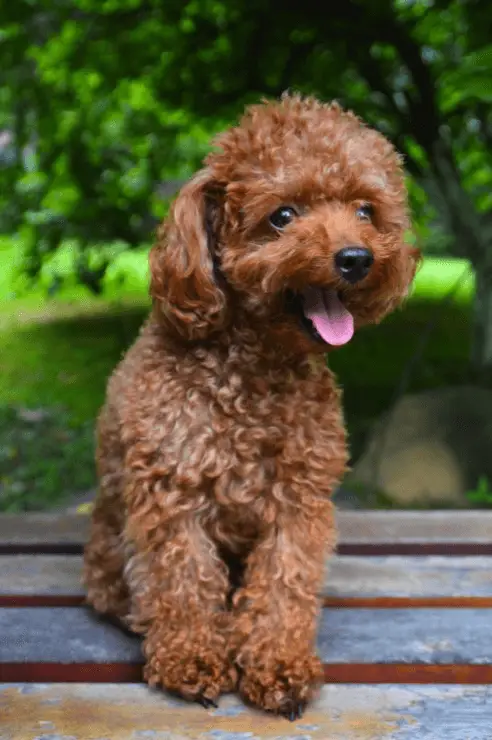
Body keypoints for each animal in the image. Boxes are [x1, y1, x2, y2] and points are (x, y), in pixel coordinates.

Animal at [84, 92, 418, 716]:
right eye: (282, 216)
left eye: (366, 210)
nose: (357, 258)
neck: (251, 371)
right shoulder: (173, 493)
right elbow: (183, 580)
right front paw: (191, 657)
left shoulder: (299, 499)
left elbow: (285, 583)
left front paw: (277, 664)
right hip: (108, 544)